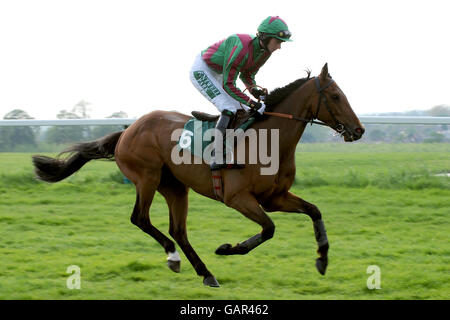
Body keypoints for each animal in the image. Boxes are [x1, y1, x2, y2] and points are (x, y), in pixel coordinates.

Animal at [31, 63, 364, 288]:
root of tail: (127, 130)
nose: (358, 130)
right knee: (141, 218)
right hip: (147, 177)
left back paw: (205, 273)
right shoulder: (238, 198)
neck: (268, 140)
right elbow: (269, 229)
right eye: (336, 96)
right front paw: (228, 248)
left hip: (176, 187)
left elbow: (314, 211)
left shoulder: (276, 197)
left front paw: (322, 259)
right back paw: (175, 257)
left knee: (178, 229)